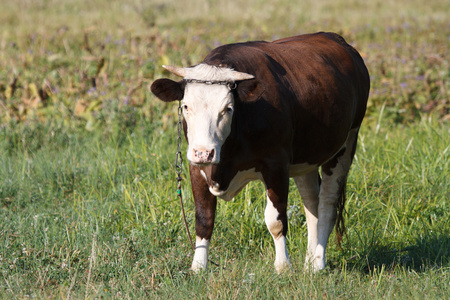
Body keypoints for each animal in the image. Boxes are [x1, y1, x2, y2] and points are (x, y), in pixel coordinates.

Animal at [151, 31, 370, 274]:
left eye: (227, 108)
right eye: (186, 106)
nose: (204, 153)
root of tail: (338, 40)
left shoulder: (276, 164)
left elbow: (276, 220)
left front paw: (283, 266)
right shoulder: (195, 167)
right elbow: (203, 219)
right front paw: (198, 268)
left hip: (346, 143)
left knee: (327, 206)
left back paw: (318, 264)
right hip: (306, 158)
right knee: (312, 204)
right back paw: (309, 262)